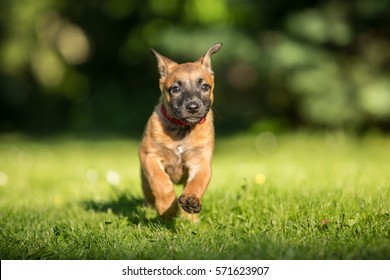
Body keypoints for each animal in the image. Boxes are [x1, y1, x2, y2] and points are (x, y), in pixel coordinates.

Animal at [139, 42, 221, 220]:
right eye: (175, 89)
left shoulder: (201, 162)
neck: (182, 130)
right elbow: (160, 180)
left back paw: (190, 218)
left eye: (205, 87)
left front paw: (191, 200)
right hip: (144, 182)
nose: (193, 107)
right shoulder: (150, 156)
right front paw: (167, 208)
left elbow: (197, 183)